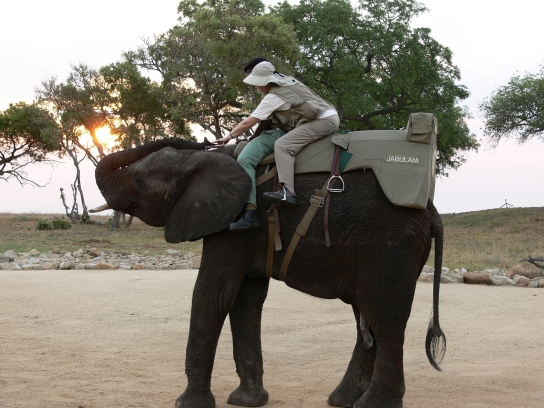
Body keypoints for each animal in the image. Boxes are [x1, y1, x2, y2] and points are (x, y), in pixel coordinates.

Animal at [95, 137, 446, 408]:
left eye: (139, 182)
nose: (197, 141)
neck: (205, 162)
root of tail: (432, 212)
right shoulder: (247, 231)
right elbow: (245, 300)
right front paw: (248, 401)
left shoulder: (233, 223)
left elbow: (213, 294)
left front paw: (188, 403)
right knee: (367, 318)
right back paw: (343, 400)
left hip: (390, 246)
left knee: (385, 318)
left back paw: (371, 404)